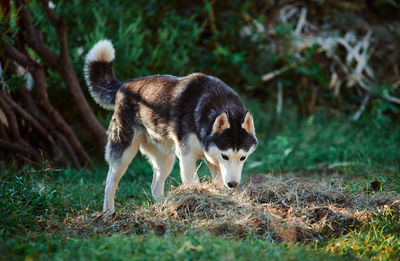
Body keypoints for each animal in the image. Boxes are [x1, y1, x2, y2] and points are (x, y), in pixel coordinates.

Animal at [85, 40, 258, 211]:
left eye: (243, 157)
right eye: (225, 156)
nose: (233, 184)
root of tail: (124, 86)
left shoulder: (212, 159)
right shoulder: (187, 157)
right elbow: (193, 182)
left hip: (166, 159)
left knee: (155, 187)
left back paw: (164, 207)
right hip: (124, 153)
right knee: (110, 183)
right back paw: (108, 213)